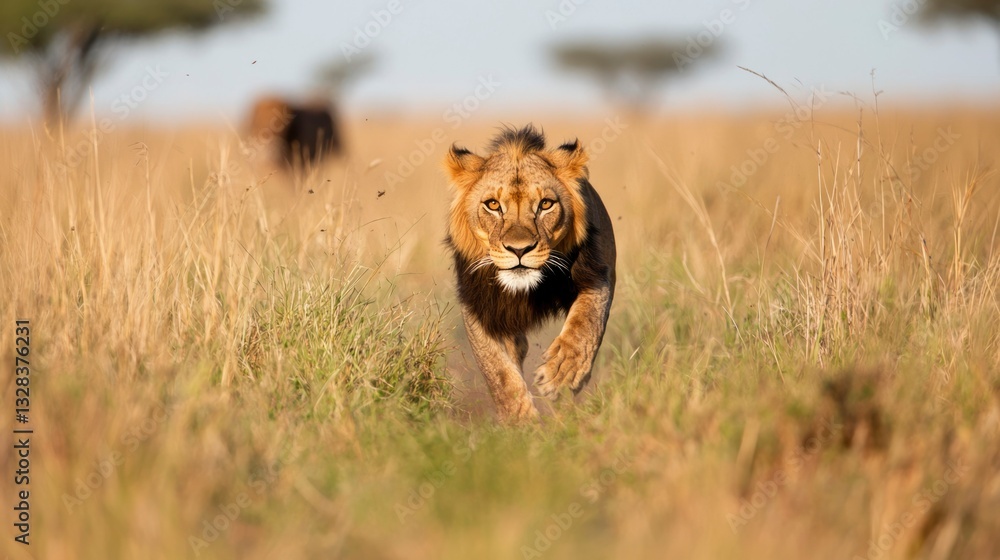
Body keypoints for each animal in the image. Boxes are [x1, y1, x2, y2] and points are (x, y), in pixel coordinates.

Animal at [444, 125, 617, 421]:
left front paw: (563, 372)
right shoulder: (478, 304)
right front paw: (520, 420)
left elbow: (586, 322)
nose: (519, 249)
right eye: (492, 205)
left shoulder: (598, 275)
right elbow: (497, 370)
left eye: (546, 204)